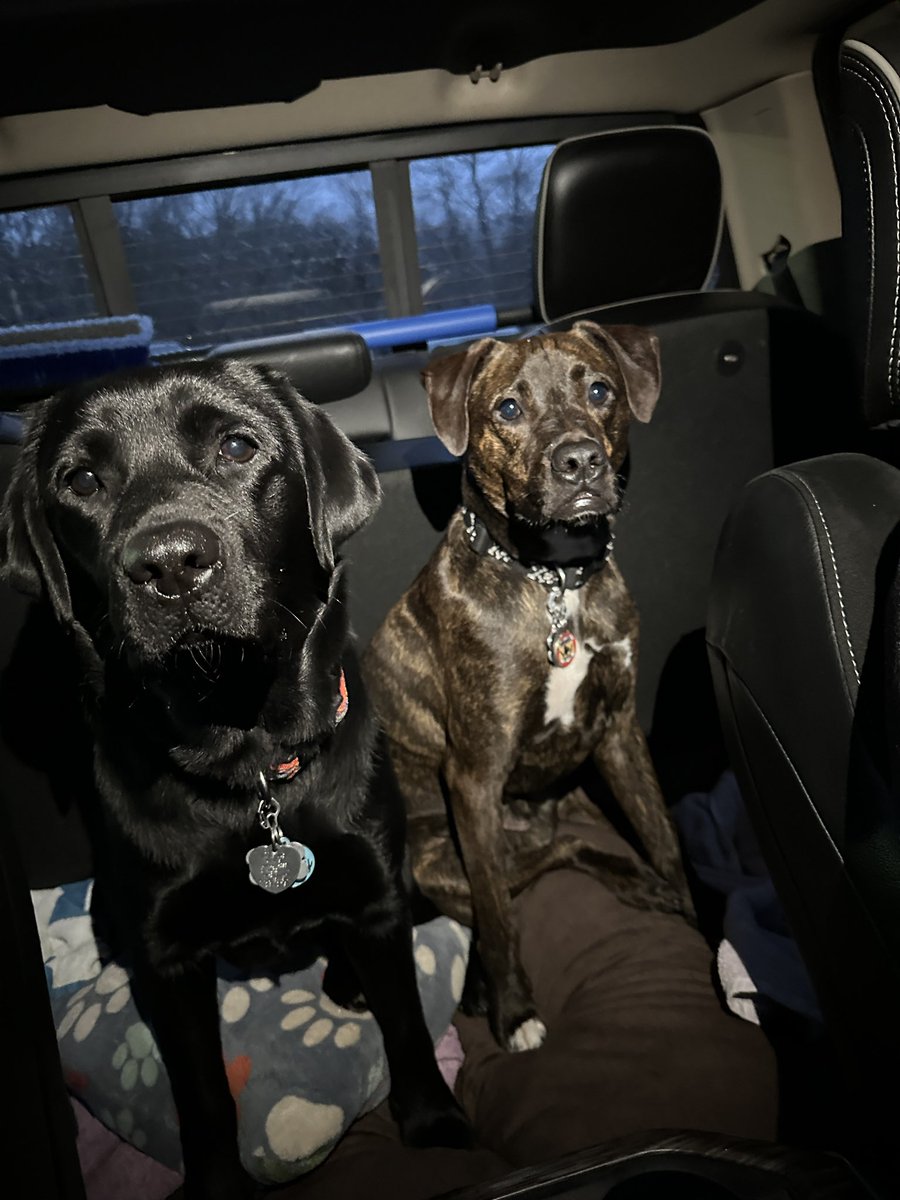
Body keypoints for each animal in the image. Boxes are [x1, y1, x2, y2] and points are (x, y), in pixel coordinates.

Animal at [3, 362, 472, 1200]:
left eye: (237, 446)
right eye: (81, 480)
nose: (168, 563)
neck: (247, 771)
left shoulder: (376, 894)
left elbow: (410, 1030)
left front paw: (434, 1123)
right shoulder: (170, 958)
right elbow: (202, 1094)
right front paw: (218, 1184)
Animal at [364, 319, 696, 1051]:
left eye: (600, 390)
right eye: (508, 409)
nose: (579, 462)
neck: (552, 582)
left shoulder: (620, 731)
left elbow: (662, 834)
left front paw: (693, 909)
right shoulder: (475, 778)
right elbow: (496, 917)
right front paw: (514, 1009)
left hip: (579, 795)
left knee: (568, 845)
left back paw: (641, 885)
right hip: (440, 853)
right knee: (525, 876)